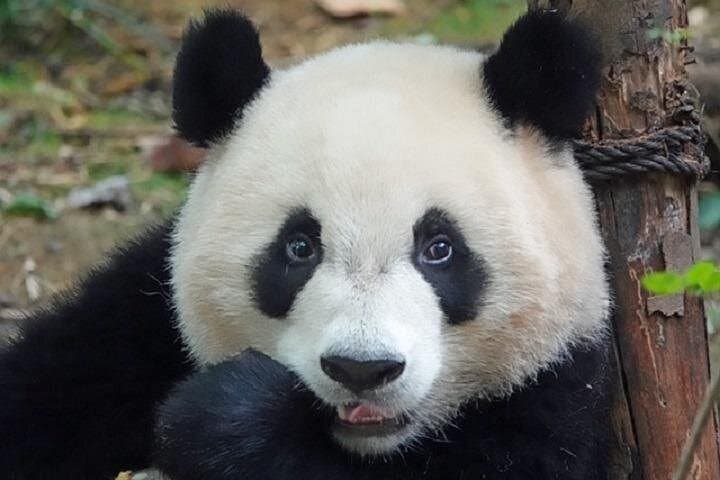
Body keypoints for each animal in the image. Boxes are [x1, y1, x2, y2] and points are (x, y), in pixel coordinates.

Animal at [0, 8, 610, 480]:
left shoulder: (558, 395)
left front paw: (226, 416)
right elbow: (51, 386)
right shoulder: (137, 316)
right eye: (299, 247)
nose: (362, 369)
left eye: (439, 248)